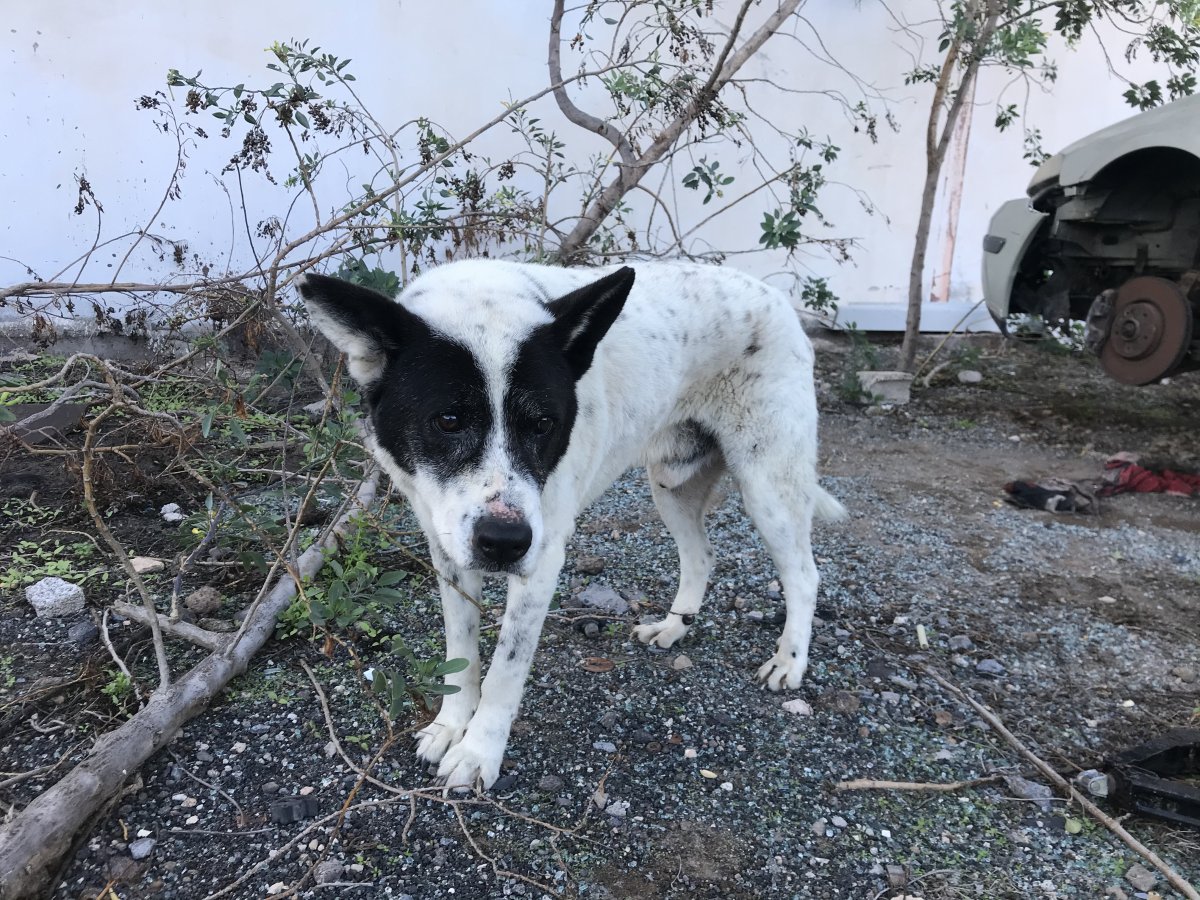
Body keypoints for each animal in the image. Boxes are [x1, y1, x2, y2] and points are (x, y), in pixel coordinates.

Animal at [299, 260, 845, 790]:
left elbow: (505, 670)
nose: (505, 543)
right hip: (670, 482)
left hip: (767, 484)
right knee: (701, 555)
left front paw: (478, 753)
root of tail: (776, 298)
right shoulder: (447, 548)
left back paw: (789, 662)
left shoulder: (541, 560)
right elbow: (462, 650)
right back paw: (673, 627)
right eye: (448, 420)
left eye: (543, 424)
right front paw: (451, 725)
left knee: (803, 574)